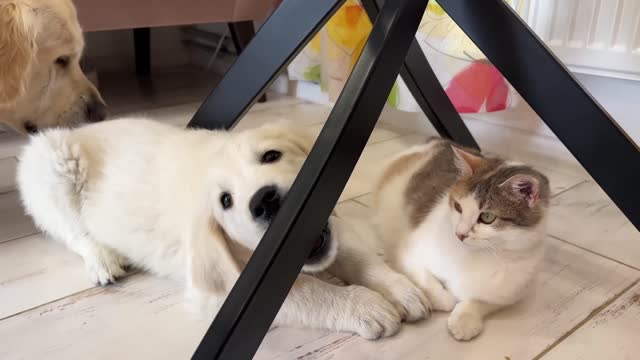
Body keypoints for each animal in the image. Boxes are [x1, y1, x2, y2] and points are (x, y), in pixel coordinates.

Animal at [376, 139, 552, 340]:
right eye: (458, 207)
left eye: (487, 217)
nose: (459, 233)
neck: (474, 255)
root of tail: (437, 141)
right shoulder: (408, 252)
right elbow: (435, 289)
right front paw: (445, 298)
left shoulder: (512, 289)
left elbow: (482, 300)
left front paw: (465, 319)